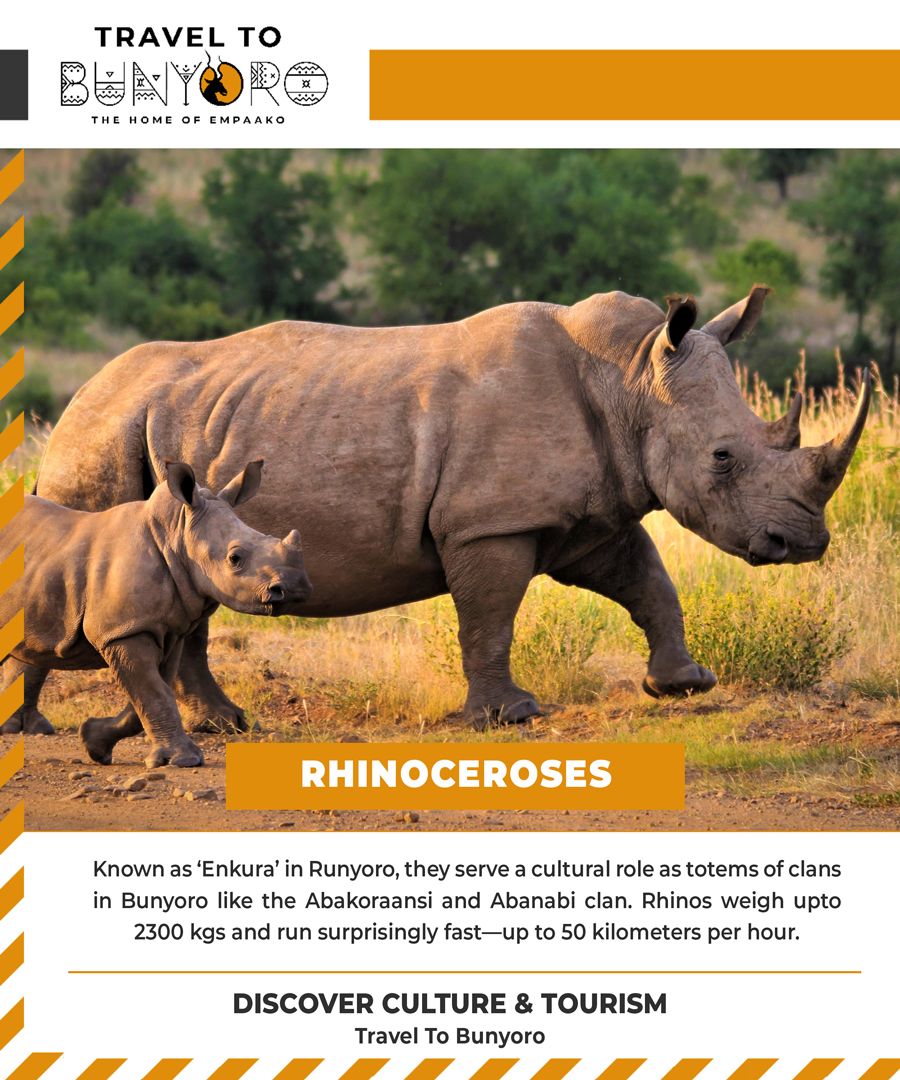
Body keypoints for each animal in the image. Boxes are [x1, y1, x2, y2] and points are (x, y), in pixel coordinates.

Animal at [0, 461, 311, 766]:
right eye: (235, 559)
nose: (296, 587)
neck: (177, 536)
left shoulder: (167, 629)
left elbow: (150, 694)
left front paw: (94, 742)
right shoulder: (124, 630)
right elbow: (153, 692)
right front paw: (185, 760)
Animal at [31, 286, 870, 731]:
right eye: (724, 457)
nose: (803, 542)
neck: (632, 378)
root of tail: (74, 400)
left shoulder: (591, 514)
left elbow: (648, 581)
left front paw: (685, 684)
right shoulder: (490, 522)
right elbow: (491, 615)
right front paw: (511, 716)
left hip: (163, 433)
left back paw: (226, 724)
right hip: (104, 436)